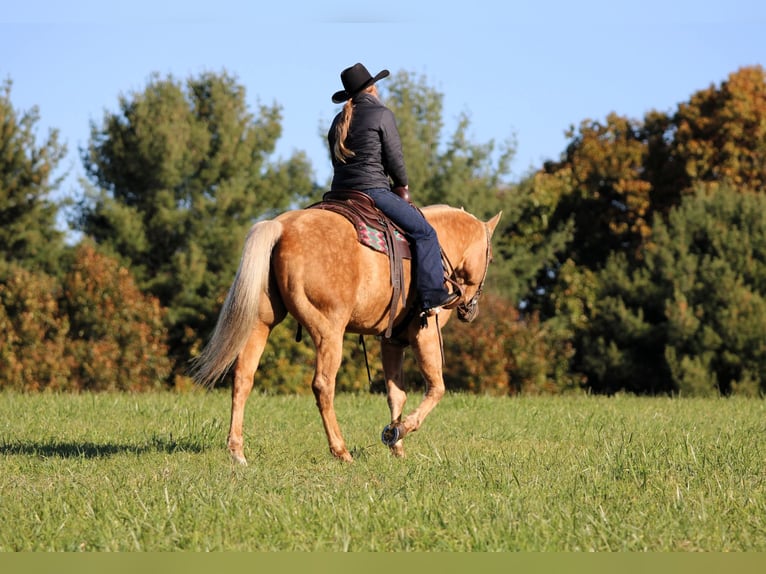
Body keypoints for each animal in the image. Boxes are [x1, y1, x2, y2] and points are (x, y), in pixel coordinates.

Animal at [191, 203, 502, 464]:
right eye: (490, 257)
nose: (470, 311)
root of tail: (281, 226)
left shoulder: (392, 341)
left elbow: (396, 394)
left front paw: (396, 445)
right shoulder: (424, 336)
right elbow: (436, 388)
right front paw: (400, 430)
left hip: (260, 324)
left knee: (243, 377)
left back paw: (237, 452)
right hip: (329, 331)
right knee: (323, 385)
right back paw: (341, 451)